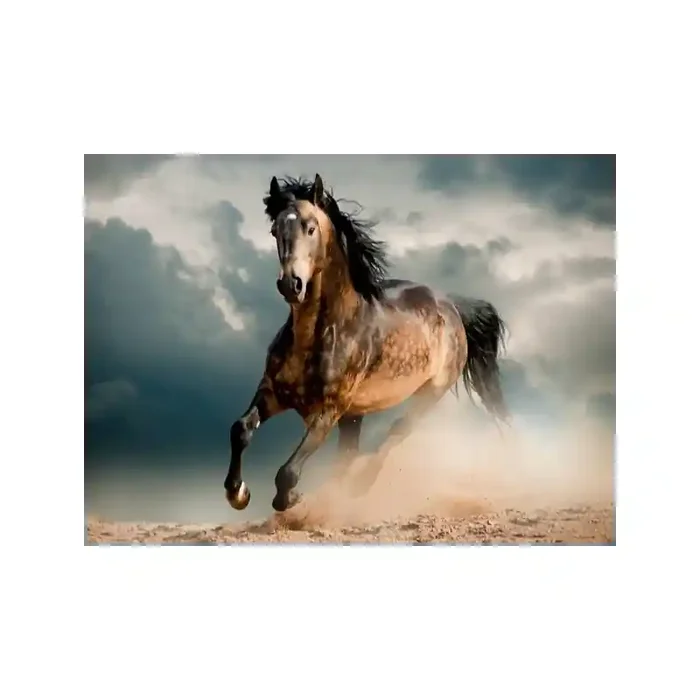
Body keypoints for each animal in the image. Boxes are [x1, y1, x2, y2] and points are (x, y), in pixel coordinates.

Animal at [223, 174, 510, 513]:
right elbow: (240, 429)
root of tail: (452, 305)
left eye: (311, 228)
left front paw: (289, 499)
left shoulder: (329, 410)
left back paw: (360, 485)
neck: (318, 334)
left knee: (396, 431)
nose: (291, 284)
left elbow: (288, 471)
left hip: (429, 393)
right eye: (274, 230)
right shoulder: (272, 393)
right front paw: (238, 493)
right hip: (355, 416)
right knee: (348, 456)